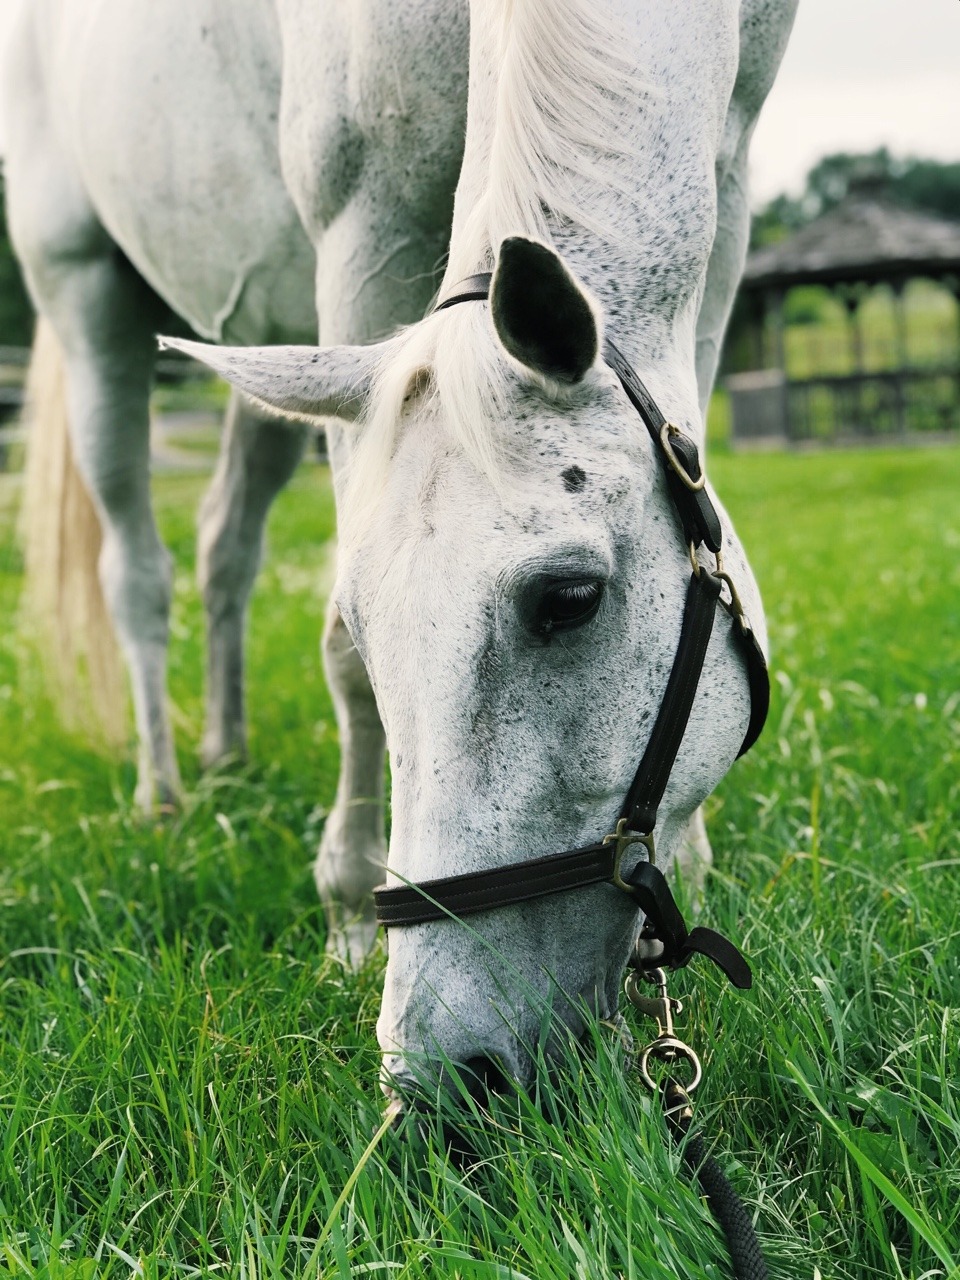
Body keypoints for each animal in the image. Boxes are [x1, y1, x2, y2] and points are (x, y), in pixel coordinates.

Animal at [5, 0, 796, 1093]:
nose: (451, 1067)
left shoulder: (724, 184)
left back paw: (224, 754)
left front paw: (692, 856)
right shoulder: (367, 220)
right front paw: (346, 909)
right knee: (137, 573)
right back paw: (163, 794)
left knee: (223, 545)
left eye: (569, 599)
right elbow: (339, 659)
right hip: (89, 299)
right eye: (364, 617)